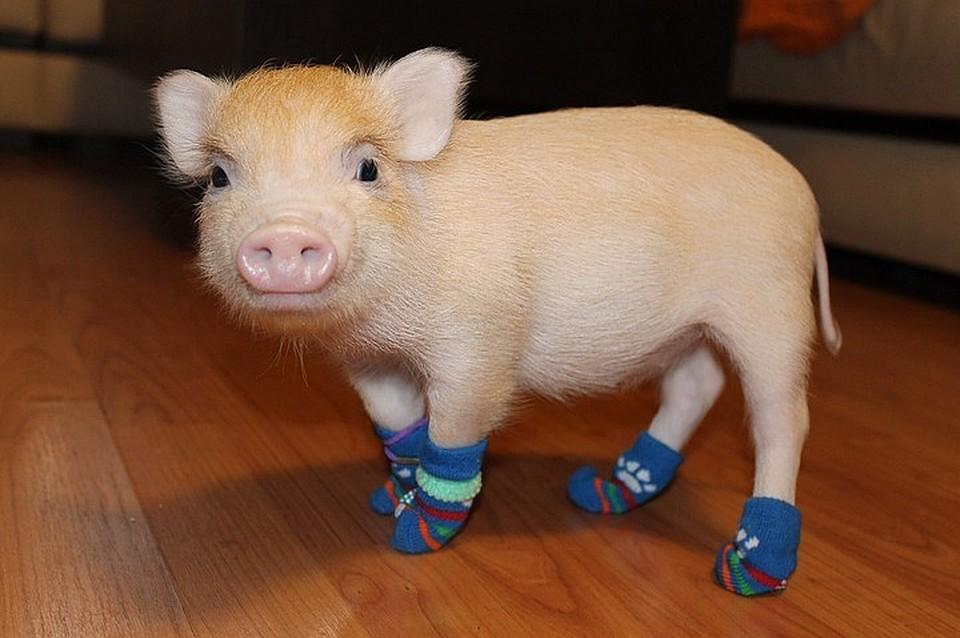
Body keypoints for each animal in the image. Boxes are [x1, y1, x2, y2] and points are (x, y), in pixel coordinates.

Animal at [154, 48, 841, 596]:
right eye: (219, 177)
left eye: (368, 168)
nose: (284, 232)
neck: (388, 317)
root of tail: (804, 195)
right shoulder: (369, 359)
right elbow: (398, 427)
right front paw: (386, 499)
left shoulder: (478, 344)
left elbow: (452, 435)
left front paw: (412, 536)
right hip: (687, 330)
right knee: (697, 385)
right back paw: (601, 492)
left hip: (771, 305)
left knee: (784, 420)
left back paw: (744, 574)